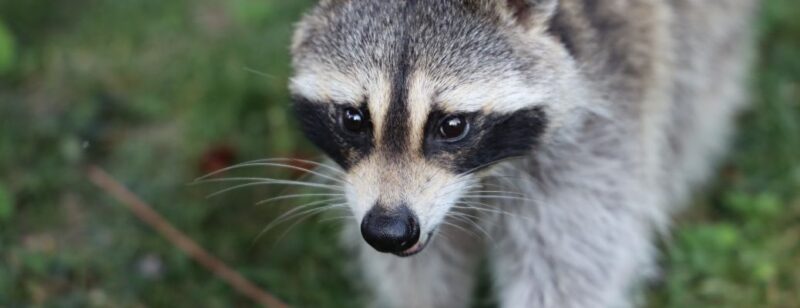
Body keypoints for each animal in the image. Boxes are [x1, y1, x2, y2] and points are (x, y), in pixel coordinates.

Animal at [286, 1, 756, 306]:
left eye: (452, 126)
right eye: (353, 119)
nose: (389, 231)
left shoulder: (594, 143)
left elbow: (569, 274)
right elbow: (418, 276)